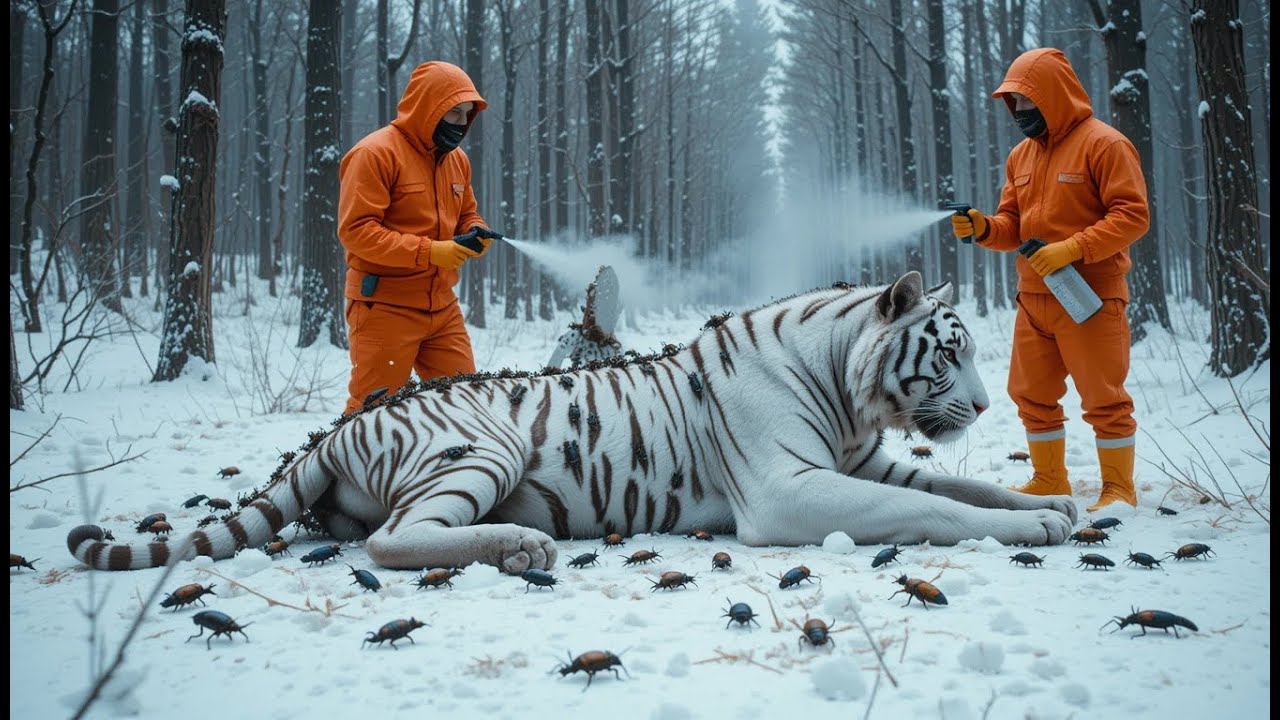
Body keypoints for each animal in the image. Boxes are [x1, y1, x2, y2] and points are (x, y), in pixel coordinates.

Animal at [68, 271, 1077, 574]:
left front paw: (1052, 505)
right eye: (949, 354)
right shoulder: (791, 493)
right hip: (481, 449)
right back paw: (520, 546)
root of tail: (337, 430)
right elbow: (941, 507)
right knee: (392, 540)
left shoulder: (870, 465)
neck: (845, 385)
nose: (985, 404)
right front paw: (1034, 528)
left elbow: (957, 483)